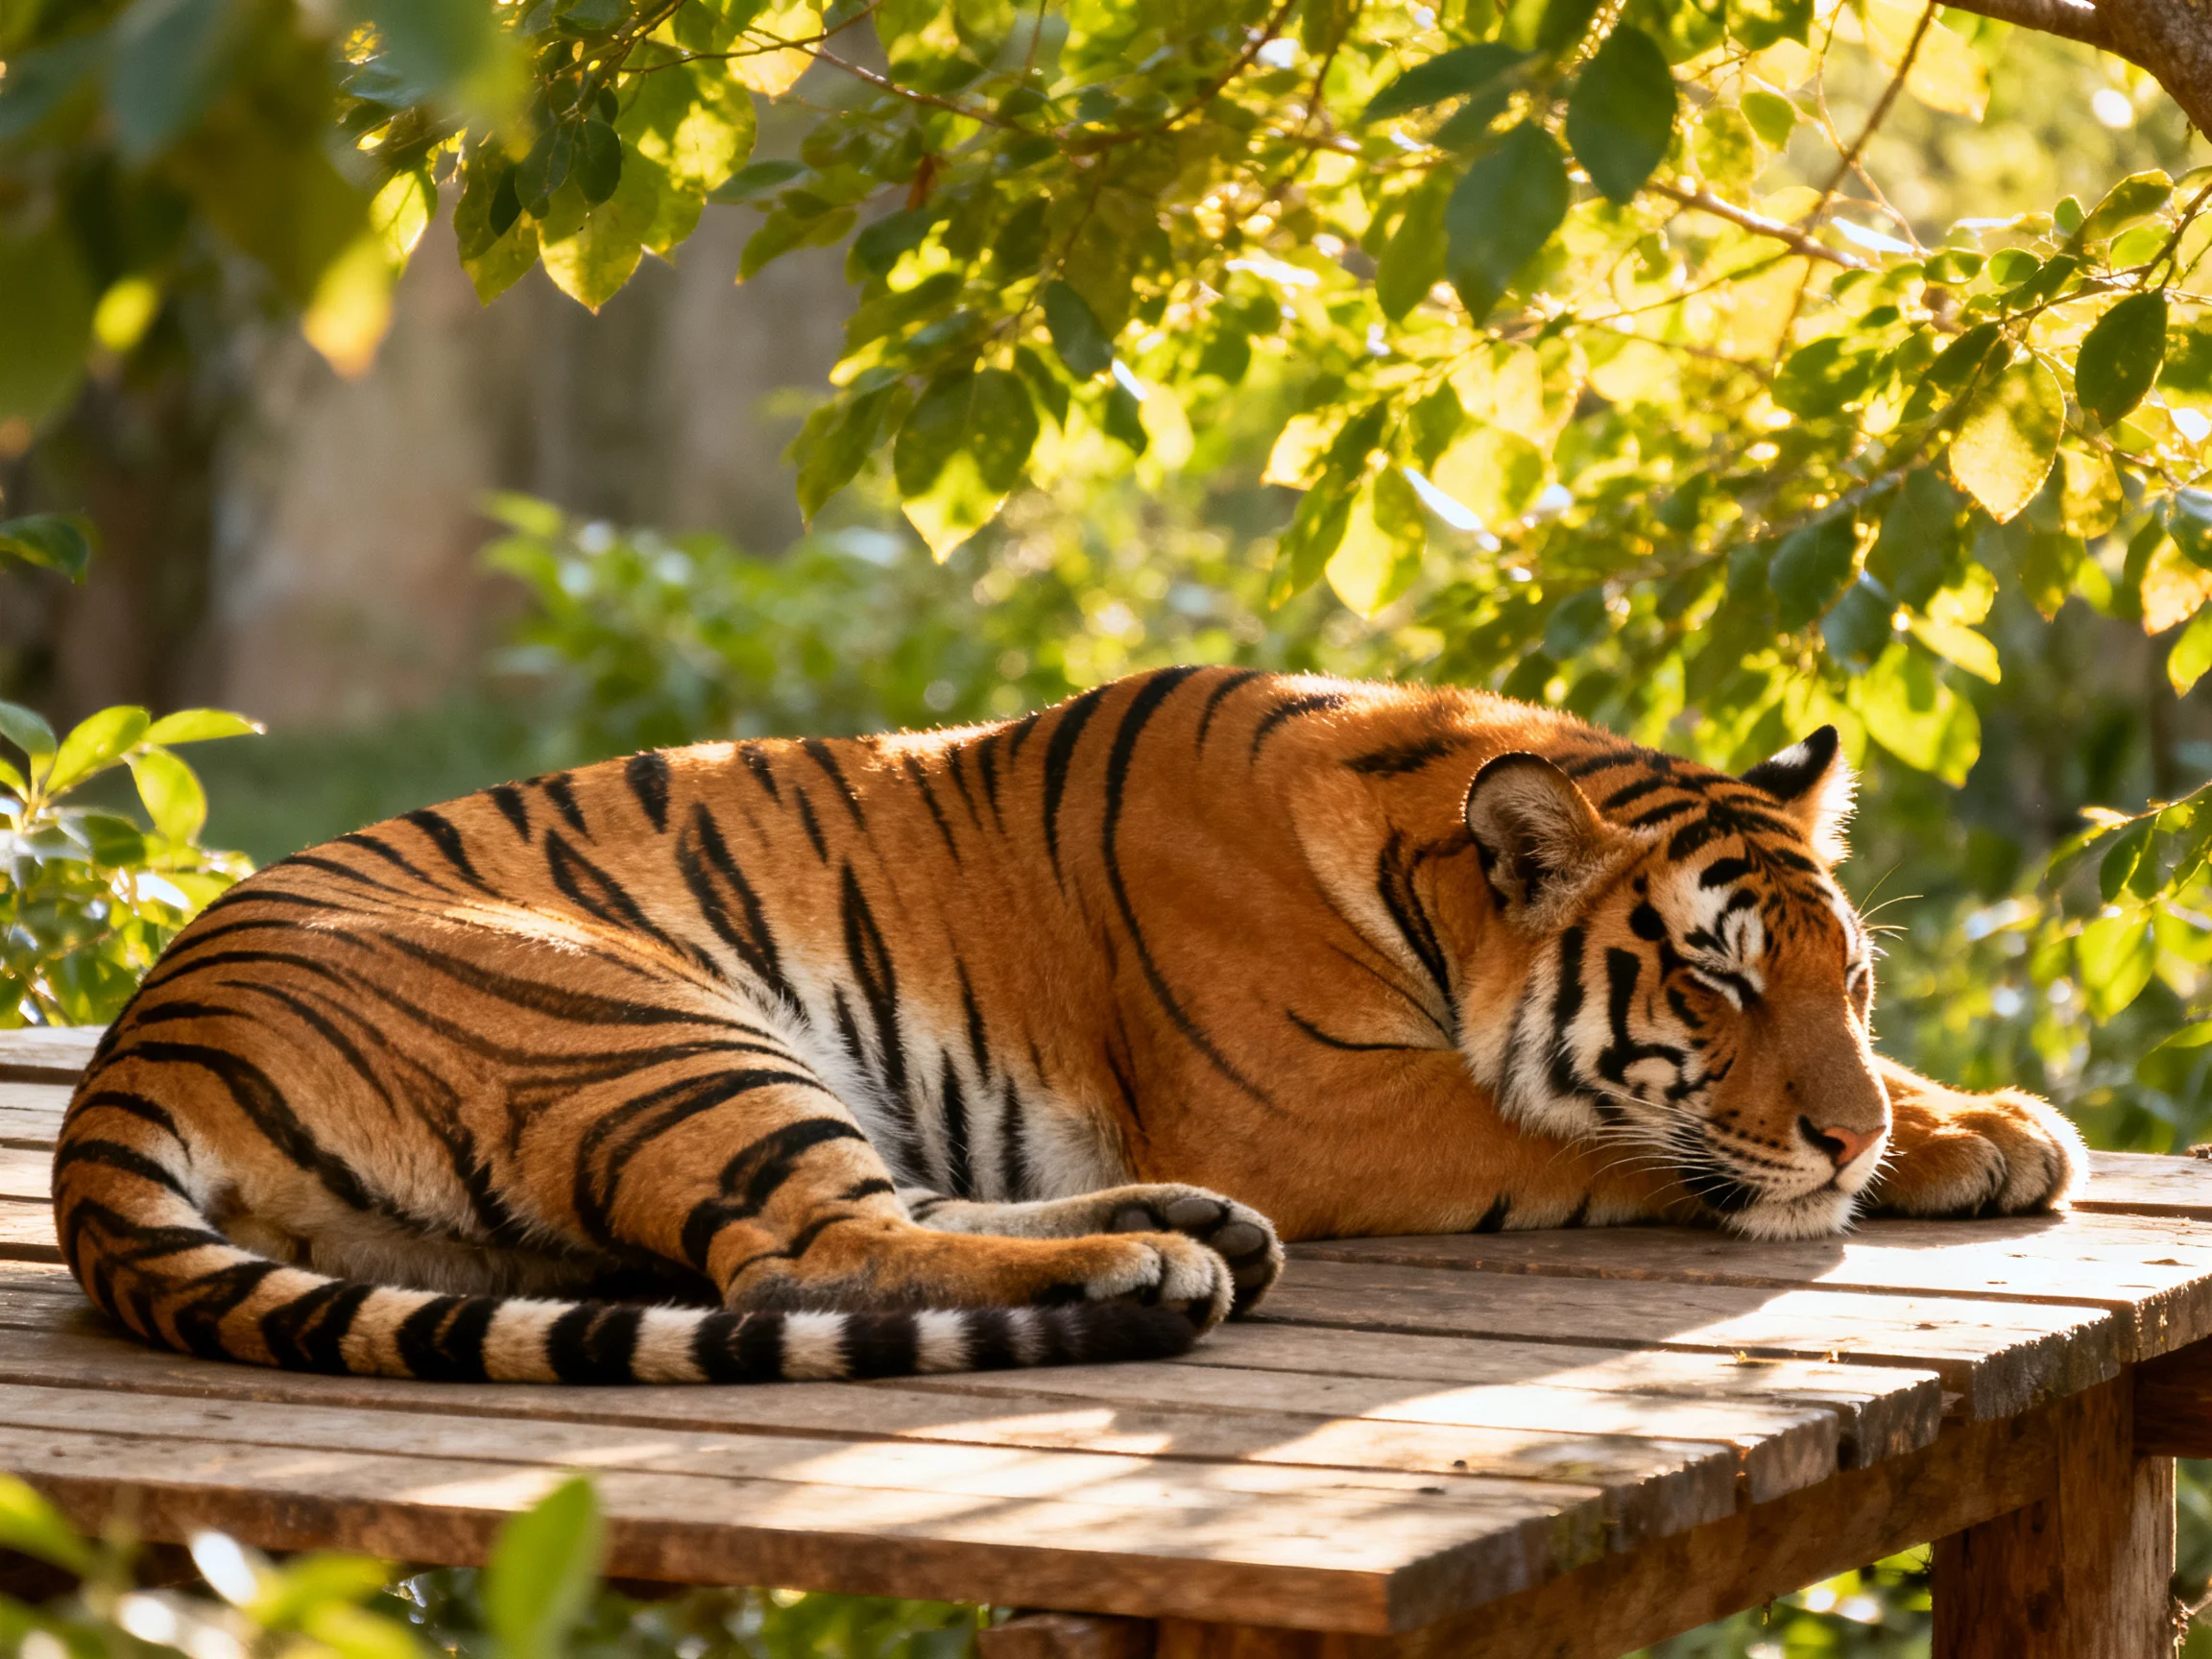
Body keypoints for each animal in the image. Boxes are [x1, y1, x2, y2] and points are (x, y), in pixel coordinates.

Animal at [53, 665, 2087, 1385]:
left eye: (1844, 979)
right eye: (1712, 975)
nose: (1839, 1131)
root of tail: (128, 1055)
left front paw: (1970, 1122)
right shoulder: (1321, 1107)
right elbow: (1579, 1128)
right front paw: (1871, 1157)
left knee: (849, 1225)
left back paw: (1172, 1234)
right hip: (636, 1010)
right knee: (799, 1250)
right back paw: (1160, 1260)